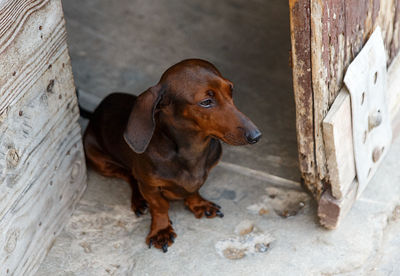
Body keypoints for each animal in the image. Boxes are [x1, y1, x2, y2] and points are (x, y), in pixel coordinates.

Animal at [83, 58, 260, 252]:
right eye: (206, 102)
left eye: (231, 89)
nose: (256, 136)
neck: (192, 149)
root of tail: (96, 111)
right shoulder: (150, 186)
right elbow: (160, 205)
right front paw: (161, 231)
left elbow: (194, 190)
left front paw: (199, 204)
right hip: (100, 161)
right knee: (130, 176)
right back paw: (139, 200)